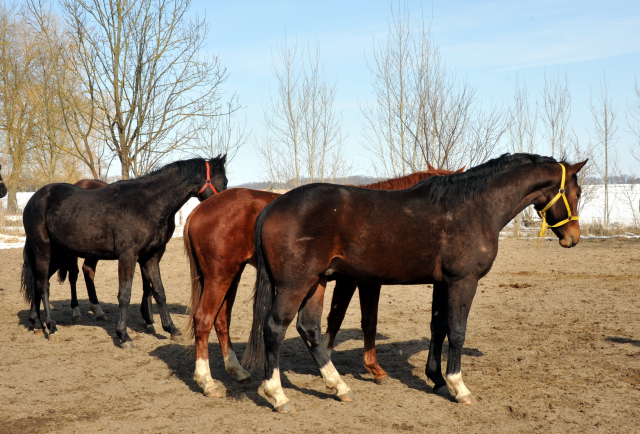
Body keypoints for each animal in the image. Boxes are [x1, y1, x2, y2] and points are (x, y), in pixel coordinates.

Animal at [21, 158, 228, 348]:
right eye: (224, 181)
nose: (222, 205)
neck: (146, 204)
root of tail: (34, 199)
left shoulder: (151, 257)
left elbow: (159, 291)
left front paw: (172, 329)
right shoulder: (128, 257)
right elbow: (125, 295)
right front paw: (124, 335)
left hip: (56, 254)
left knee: (39, 283)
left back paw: (36, 323)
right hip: (44, 251)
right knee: (45, 286)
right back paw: (52, 327)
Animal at [182, 166, 458, 396]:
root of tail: (198, 211)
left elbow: (335, 319)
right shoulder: (361, 281)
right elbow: (362, 321)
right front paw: (372, 369)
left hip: (230, 275)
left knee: (221, 319)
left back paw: (237, 371)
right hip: (221, 276)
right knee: (204, 319)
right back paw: (207, 382)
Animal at [245, 153, 592, 414]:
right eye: (577, 194)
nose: (573, 238)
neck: (475, 207)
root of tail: (273, 207)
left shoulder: (443, 283)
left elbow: (438, 326)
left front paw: (436, 378)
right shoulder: (463, 282)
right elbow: (457, 331)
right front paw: (458, 386)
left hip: (317, 282)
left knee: (310, 329)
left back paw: (339, 386)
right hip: (295, 284)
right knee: (274, 327)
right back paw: (277, 395)